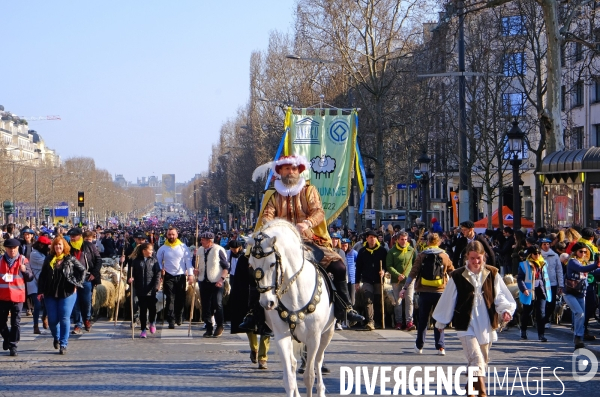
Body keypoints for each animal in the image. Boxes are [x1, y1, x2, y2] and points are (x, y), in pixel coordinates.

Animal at [245, 218, 338, 394]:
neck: (295, 292)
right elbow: (289, 379)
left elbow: (309, 377)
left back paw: (321, 388)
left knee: (318, 361)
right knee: (294, 365)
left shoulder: (314, 337)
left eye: (272, 264)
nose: (267, 303)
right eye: (251, 265)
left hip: (327, 333)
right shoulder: (281, 336)